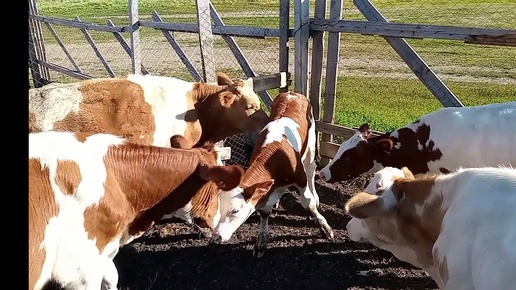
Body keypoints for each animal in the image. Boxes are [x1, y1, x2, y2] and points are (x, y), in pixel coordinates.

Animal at [212, 92, 332, 258]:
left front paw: (324, 226)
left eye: (235, 211)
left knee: (311, 171)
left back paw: (315, 194)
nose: (216, 236)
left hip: (310, 147)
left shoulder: (300, 178)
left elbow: (309, 203)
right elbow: (264, 212)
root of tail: (292, 93)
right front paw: (261, 240)